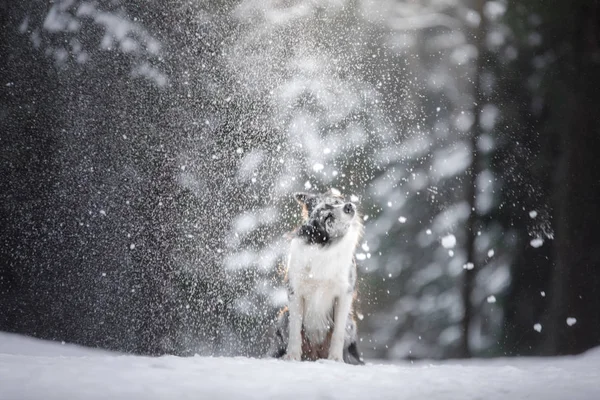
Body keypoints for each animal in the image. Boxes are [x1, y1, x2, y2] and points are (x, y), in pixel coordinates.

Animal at [270, 191, 364, 366]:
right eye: (328, 218)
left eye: (336, 202)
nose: (348, 206)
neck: (324, 248)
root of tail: (315, 354)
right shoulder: (295, 292)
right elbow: (295, 331)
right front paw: (292, 356)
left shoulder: (344, 293)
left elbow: (338, 333)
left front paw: (336, 359)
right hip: (284, 317)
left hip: (351, 323)